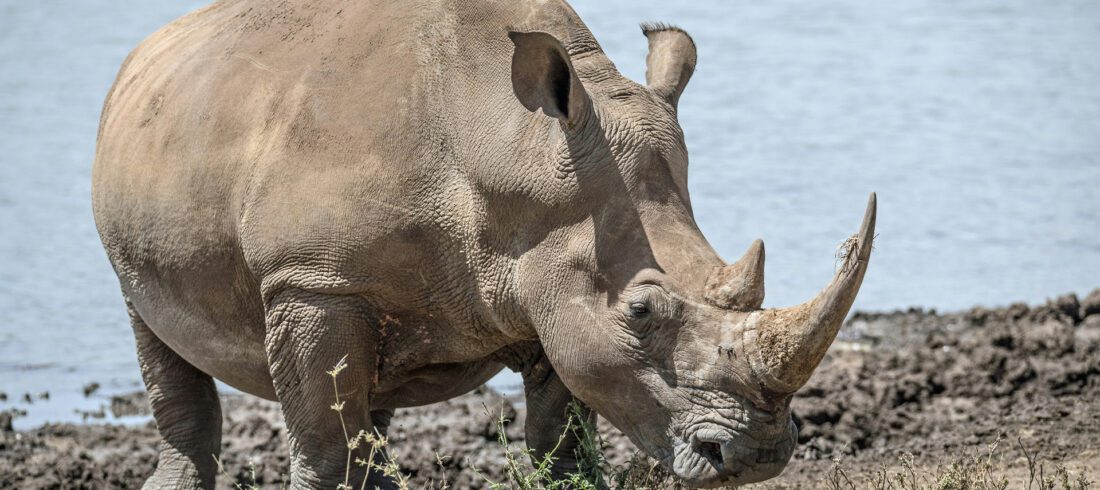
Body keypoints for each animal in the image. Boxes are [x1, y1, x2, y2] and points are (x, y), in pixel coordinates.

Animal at [92, 0, 876, 488]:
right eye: (641, 313)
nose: (758, 454)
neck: (509, 146)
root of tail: (147, 48)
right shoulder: (311, 280)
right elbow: (325, 449)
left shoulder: (552, 279)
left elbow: (563, 439)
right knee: (152, 329)